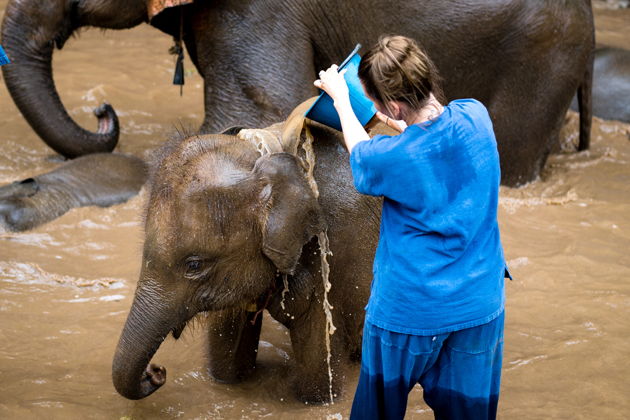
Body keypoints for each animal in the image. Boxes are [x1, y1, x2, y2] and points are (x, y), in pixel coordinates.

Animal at [111, 101, 382, 400]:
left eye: (194, 265)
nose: (156, 372)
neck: (266, 153)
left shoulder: (336, 252)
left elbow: (317, 386)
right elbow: (228, 364)